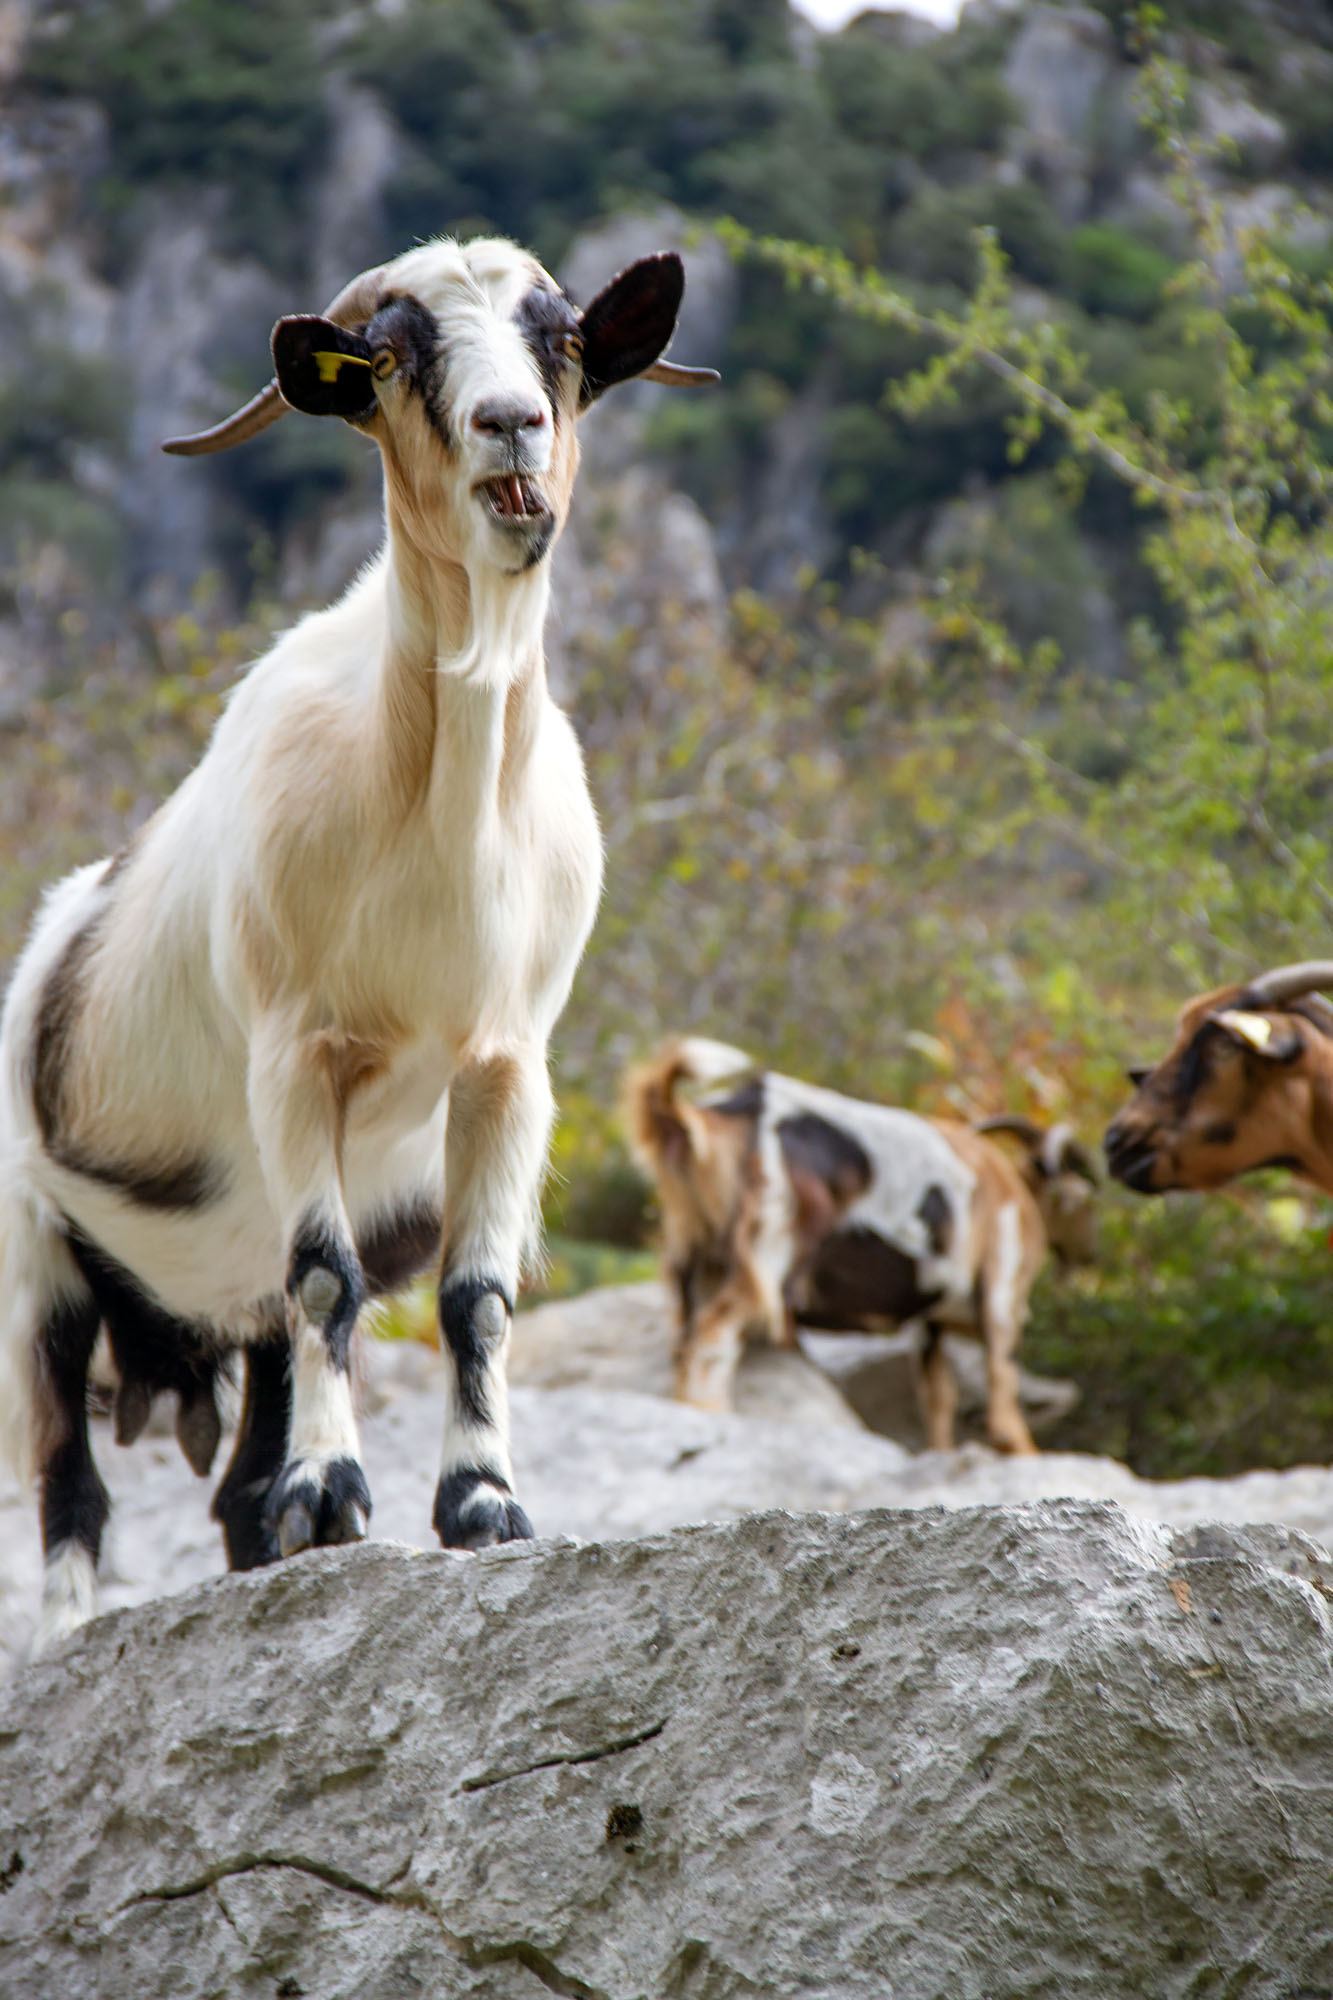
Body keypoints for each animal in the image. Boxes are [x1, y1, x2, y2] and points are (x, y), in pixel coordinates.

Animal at [0, 234, 716, 1648]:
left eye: (561, 337)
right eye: (391, 354)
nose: (512, 425)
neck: (434, 815)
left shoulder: (507, 1064)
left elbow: (476, 1294)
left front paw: (483, 1504)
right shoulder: (296, 1051)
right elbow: (330, 1275)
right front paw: (336, 1493)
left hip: (220, 1293)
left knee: (232, 1469)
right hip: (36, 1254)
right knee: (70, 1479)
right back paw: (69, 1631)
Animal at [624, 1048, 1088, 1456]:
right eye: (1082, 1200)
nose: (1084, 1257)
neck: (1014, 1190)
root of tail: (711, 1118)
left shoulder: (929, 1323)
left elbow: (938, 1400)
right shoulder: (1001, 1293)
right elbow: (1004, 1417)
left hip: (695, 1256)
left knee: (686, 1343)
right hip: (769, 1250)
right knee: (711, 1343)